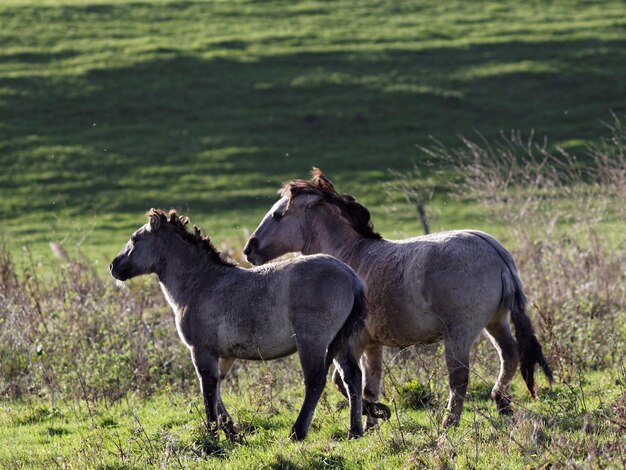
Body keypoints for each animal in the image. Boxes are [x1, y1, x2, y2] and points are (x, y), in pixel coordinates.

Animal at [109, 209, 366, 440]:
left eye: (134, 239)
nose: (113, 266)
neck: (199, 283)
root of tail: (352, 278)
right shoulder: (224, 355)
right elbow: (218, 389)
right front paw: (232, 432)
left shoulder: (201, 350)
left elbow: (208, 390)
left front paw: (212, 436)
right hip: (341, 343)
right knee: (352, 376)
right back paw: (355, 430)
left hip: (312, 342)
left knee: (315, 380)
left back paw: (297, 432)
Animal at [244, 170, 552, 430]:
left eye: (278, 215)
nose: (249, 249)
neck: (350, 258)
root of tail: (496, 253)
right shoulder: (371, 345)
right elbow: (369, 385)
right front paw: (371, 423)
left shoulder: (351, 343)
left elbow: (343, 382)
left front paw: (376, 414)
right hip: (496, 322)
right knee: (510, 355)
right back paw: (502, 404)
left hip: (459, 334)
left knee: (460, 378)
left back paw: (448, 423)